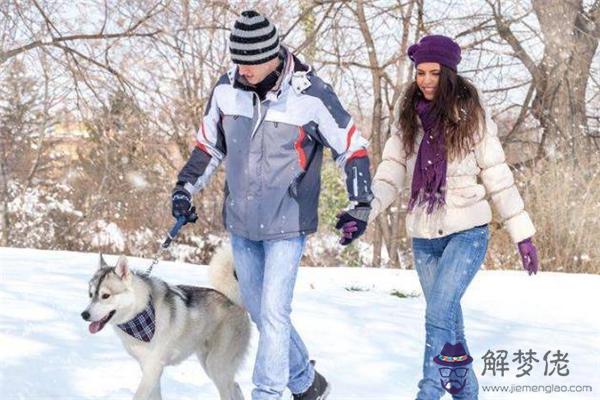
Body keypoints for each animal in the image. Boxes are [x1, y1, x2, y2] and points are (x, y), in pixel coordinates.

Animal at [81, 244, 250, 400]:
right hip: (209, 364)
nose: (84, 314)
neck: (140, 311)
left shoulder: (153, 368)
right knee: (236, 387)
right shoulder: (149, 369)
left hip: (216, 366)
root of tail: (234, 301)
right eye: (90, 294)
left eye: (105, 296)